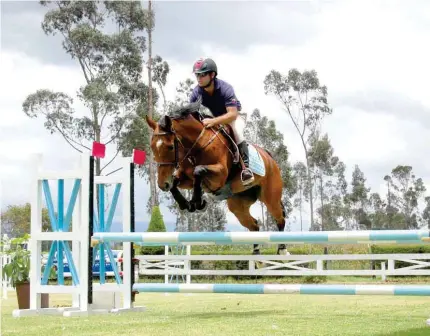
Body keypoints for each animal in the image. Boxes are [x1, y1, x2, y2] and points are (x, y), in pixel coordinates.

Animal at [144, 101, 288, 255]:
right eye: (152, 147)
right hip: (238, 205)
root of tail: (270, 158)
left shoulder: (220, 175)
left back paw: (282, 250)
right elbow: (176, 183)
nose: (162, 184)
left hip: (270, 198)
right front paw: (186, 203)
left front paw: (196, 201)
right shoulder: (186, 177)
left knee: (280, 218)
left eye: (170, 147)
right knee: (254, 225)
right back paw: (256, 254)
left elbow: (198, 170)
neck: (196, 145)